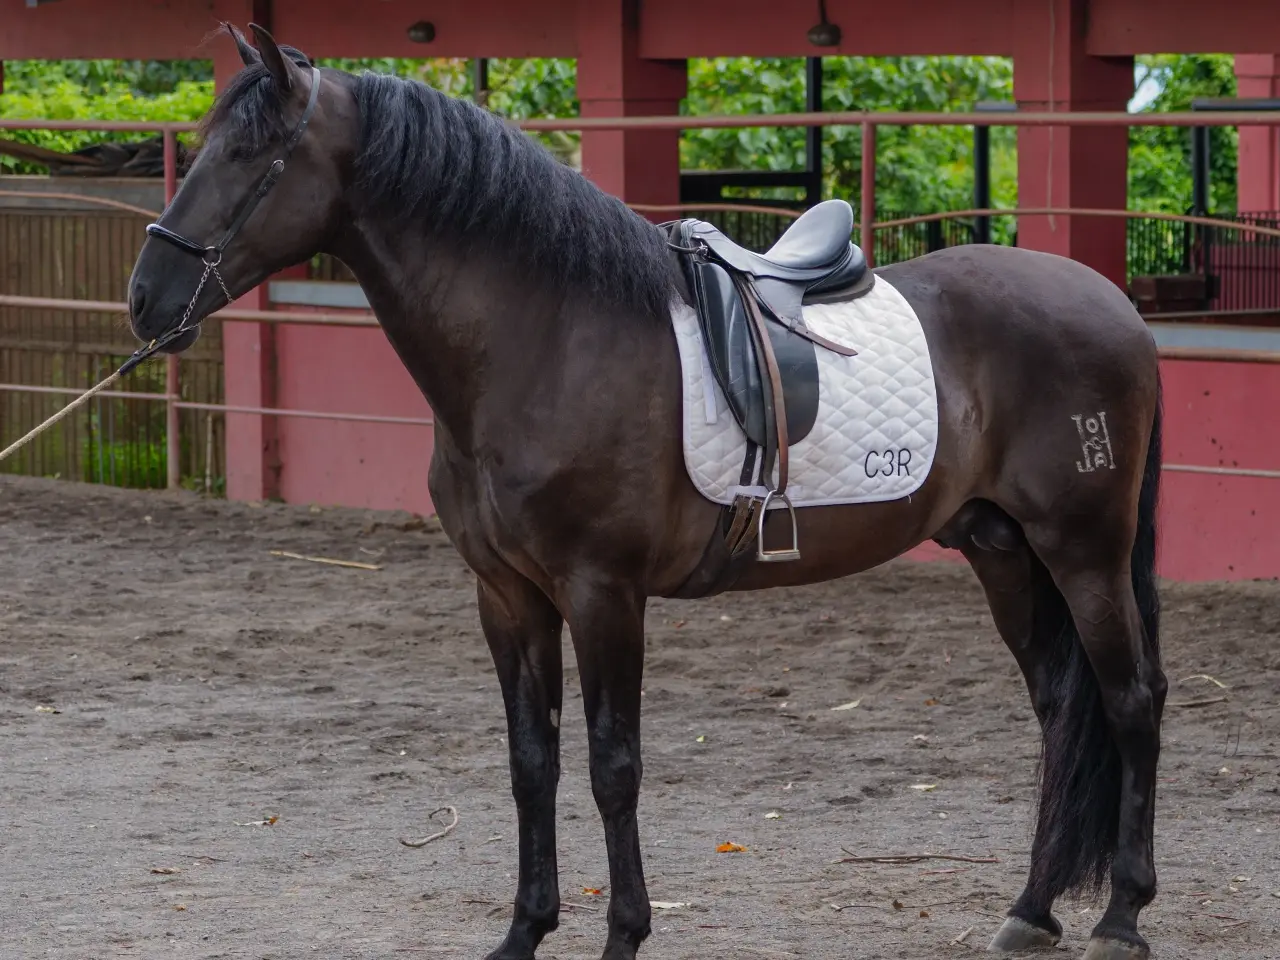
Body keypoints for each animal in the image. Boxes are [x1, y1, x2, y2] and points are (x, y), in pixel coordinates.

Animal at [126, 25, 1165, 960]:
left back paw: (1121, 917)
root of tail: (1115, 305)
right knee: (1061, 709)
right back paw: (1031, 911)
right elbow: (532, 762)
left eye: (250, 154)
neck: (547, 341)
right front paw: (525, 931)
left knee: (1130, 699)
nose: (146, 298)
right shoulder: (508, 596)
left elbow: (612, 767)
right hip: (1001, 548)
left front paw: (624, 934)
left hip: (1083, 547)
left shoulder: (603, 593)